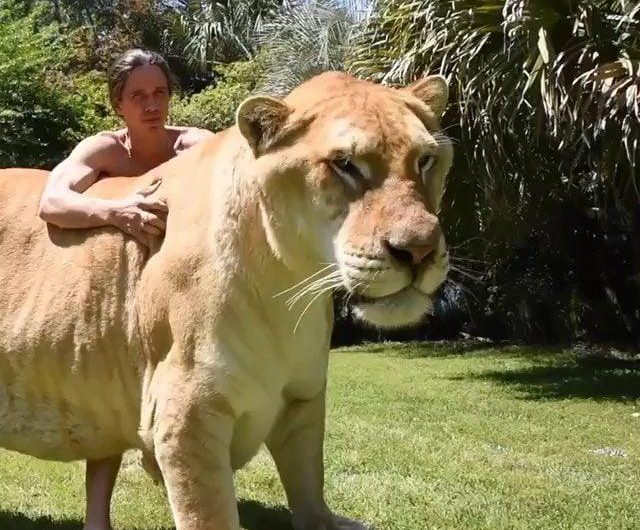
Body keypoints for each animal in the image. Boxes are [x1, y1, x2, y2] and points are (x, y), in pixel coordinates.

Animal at [0, 71, 453, 530]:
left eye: (425, 160)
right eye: (345, 164)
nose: (419, 251)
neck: (290, 293)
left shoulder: (303, 399)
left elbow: (310, 484)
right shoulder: (185, 414)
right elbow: (210, 513)